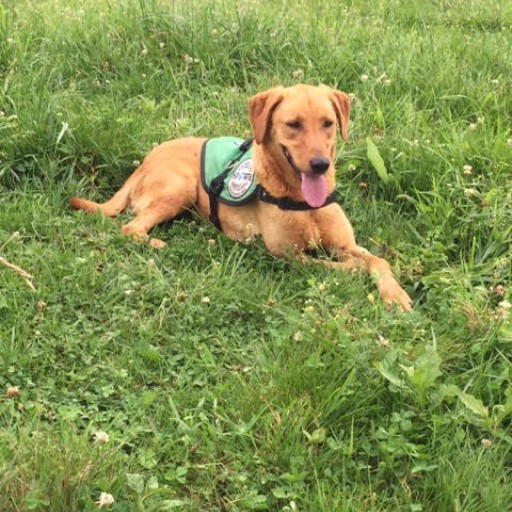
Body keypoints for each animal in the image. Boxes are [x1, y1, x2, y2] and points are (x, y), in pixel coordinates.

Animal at [70, 83, 412, 312]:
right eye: (293, 124)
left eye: (328, 123)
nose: (320, 164)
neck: (302, 202)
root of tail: (145, 159)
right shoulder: (287, 255)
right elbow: (336, 266)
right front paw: (356, 272)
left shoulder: (346, 244)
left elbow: (378, 261)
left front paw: (395, 294)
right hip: (179, 187)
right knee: (131, 227)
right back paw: (156, 243)